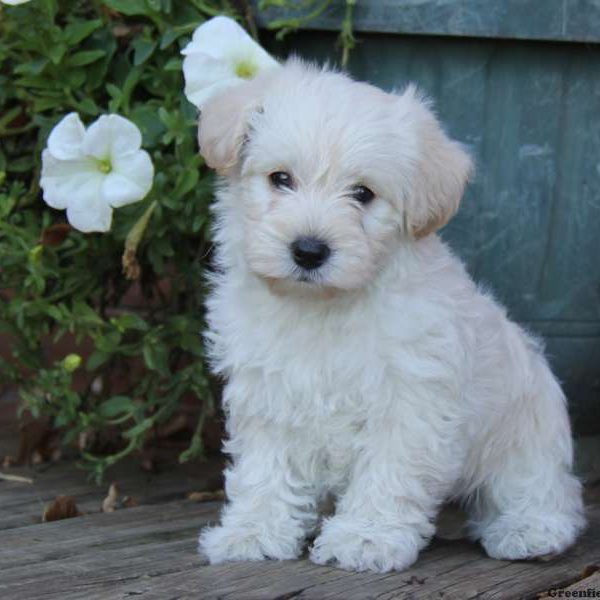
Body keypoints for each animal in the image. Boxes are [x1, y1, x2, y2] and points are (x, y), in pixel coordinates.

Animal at [197, 59, 584, 572]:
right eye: (280, 179)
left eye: (363, 193)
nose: (309, 250)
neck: (323, 307)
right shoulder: (268, 394)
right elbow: (265, 468)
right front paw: (253, 531)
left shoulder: (410, 401)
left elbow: (389, 471)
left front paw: (366, 537)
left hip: (525, 436)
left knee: (543, 490)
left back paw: (529, 530)